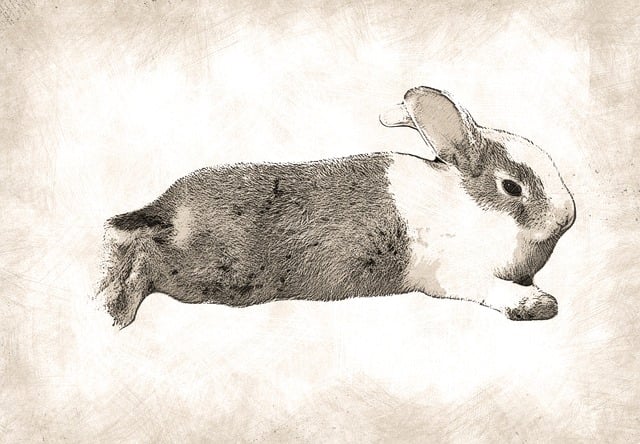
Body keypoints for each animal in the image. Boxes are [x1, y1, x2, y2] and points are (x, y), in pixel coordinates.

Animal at [95, 86, 575, 328]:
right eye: (511, 186)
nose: (567, 216)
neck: (473, 208)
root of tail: (171, 205)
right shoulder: (455, 273)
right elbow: (492, 289)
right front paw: (537, 305)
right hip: (214, 273)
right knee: (144, 256)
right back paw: (118, 311)